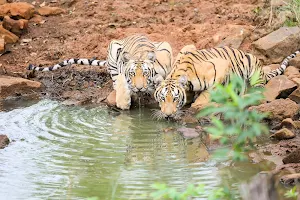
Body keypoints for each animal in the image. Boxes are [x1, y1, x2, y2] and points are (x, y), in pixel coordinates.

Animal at [154, 45, 298, 119]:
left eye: (175, 98)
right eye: (162, 98)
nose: (167, 115)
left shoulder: (221, 67)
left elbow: (207, 93)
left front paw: (197, 104)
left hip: (252, 66)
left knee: (258, 91)